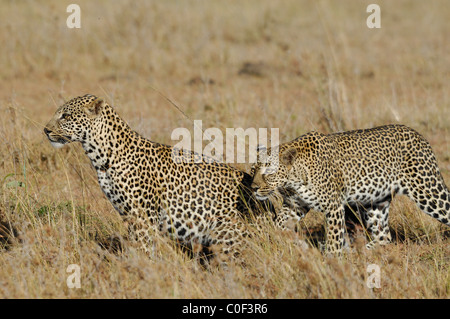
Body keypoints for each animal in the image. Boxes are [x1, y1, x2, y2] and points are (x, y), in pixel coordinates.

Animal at [44, 94, 270, 264]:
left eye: (65, 116)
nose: (45, 130)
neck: (101, 156)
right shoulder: (128, 214)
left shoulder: (142, 216)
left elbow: (143, 248)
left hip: (224, 235)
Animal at [251, 124, 448, 255]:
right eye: (253, 170)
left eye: (268, 171)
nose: (253, 188)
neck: (294, 180)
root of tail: (419, 136)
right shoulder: (295, 206)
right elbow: (277, 224)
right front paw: (272, 239)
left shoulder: (334, 206)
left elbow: (334, 239)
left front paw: (332, 260)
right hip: (376, 202)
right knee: (384, 237)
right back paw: (358, 251)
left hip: (427, 190)